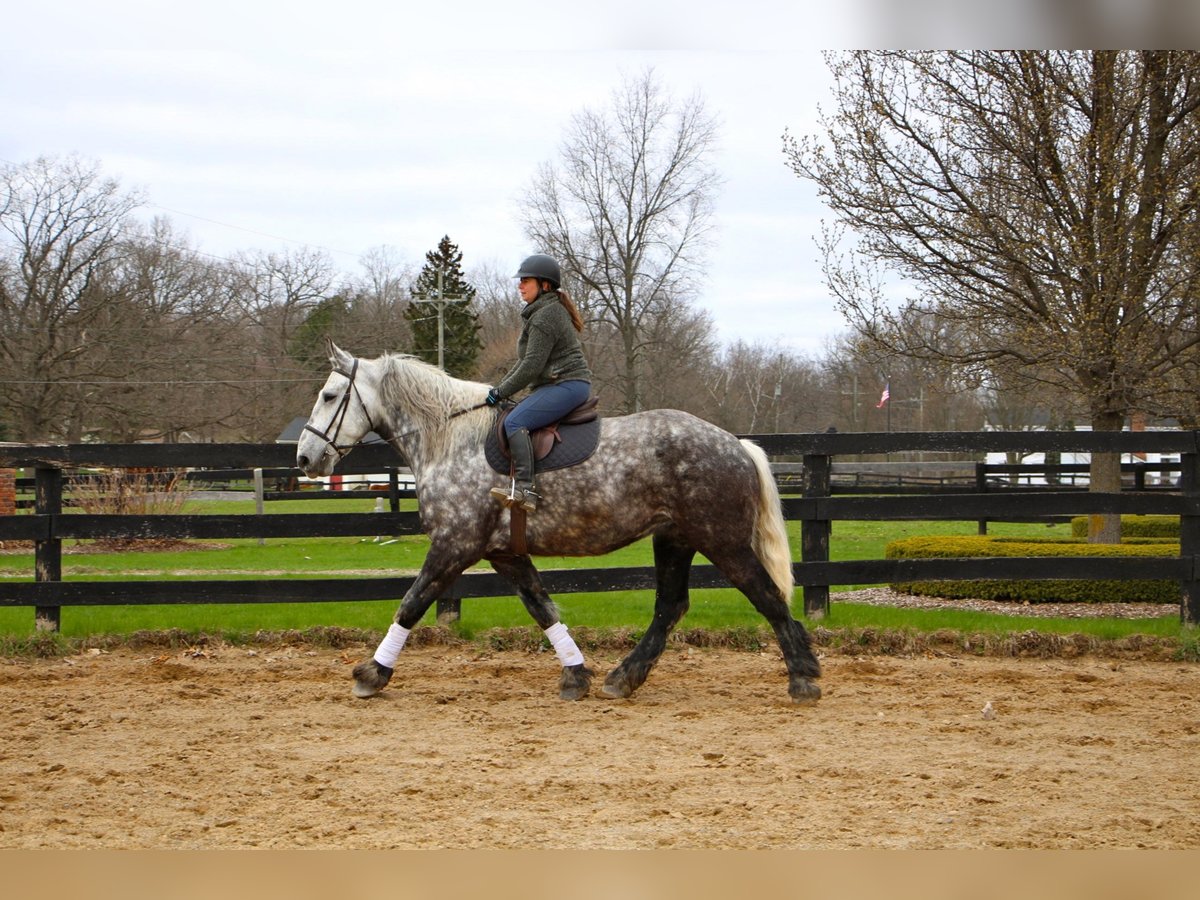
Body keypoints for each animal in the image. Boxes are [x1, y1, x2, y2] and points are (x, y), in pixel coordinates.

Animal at [297, 343, 825, 705]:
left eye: (329, 395)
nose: (305, 458)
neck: (452, 440)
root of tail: (736, 444)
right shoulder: (504, 552)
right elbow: (542, 607)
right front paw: (576, 674)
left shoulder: (453, 545)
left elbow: (411, 604)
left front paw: (372, 673)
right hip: (675, 540)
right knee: (670, 607)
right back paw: (623, 677)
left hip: (722, 541)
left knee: (765, 595)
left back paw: (803, 676)